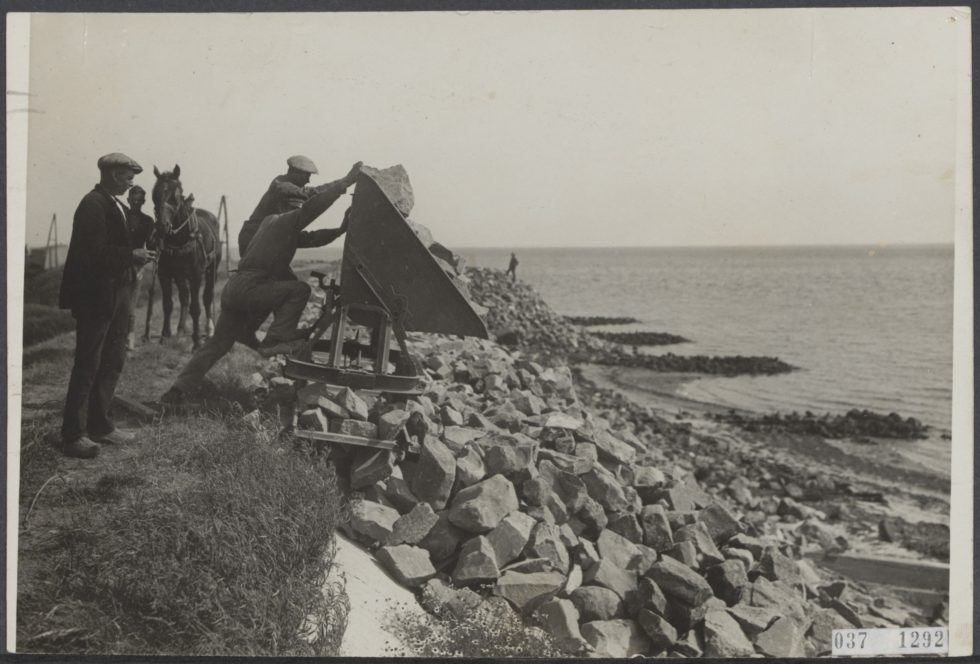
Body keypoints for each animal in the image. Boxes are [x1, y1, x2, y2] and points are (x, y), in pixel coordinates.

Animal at [149, 164, 222, 350]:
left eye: (176, 196)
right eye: (155, 194)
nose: (161, 227)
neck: (179, 238)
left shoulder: (196, 275)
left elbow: (196, 308)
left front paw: (197, 341)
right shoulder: (165, 274)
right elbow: (168, 305)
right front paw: (164, 336)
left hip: (212, 269)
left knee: (207, 297)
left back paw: (209, 330)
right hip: (180, 275)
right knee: (184, 298)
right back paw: (181, 330)